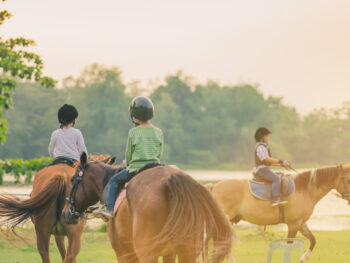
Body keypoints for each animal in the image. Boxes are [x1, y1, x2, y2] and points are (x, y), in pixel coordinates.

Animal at [64, 153, 237, 263]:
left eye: (72, 180)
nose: (66, 212)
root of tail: (171, 179)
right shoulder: (169, 254)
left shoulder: (125, 254)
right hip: (188, 251)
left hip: (147, 253)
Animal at [205, 165, 350, 263]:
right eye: (348, 179)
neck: (304, 190)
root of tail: (214, 187)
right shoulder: (293, 224)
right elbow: (289, 245)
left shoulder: (301, 224)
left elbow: (313, 239)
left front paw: (304, 258)